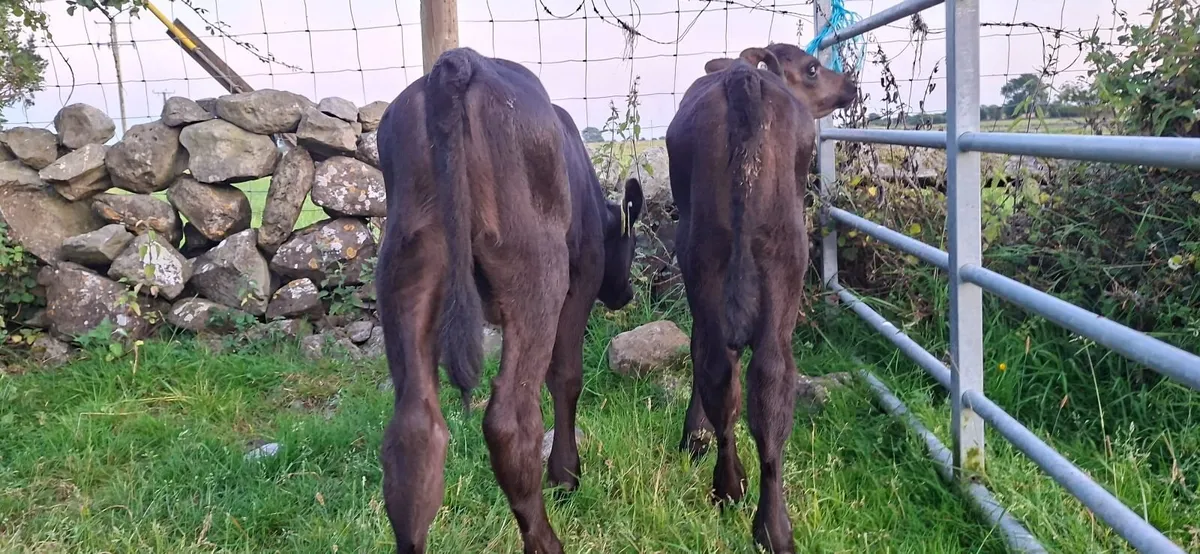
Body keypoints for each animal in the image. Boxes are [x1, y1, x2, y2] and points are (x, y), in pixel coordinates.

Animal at [373, 46, 644, 554]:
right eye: (632, 245)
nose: (626, 293)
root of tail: (458, 63)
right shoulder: (582, 278)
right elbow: (566, 376)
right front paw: (566, 474)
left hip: (405, 265)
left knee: (414, 431)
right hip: (538, 271)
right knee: (510, 423)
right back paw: (547, 540)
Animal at [664, 43, 857, 553]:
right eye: (812, 68)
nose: (851, 83)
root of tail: (743, 81)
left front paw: (693, 438)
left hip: (706, 261)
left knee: (724, 372)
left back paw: (731, 491)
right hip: (784, 267)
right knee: (768, 386)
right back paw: (772, 525)